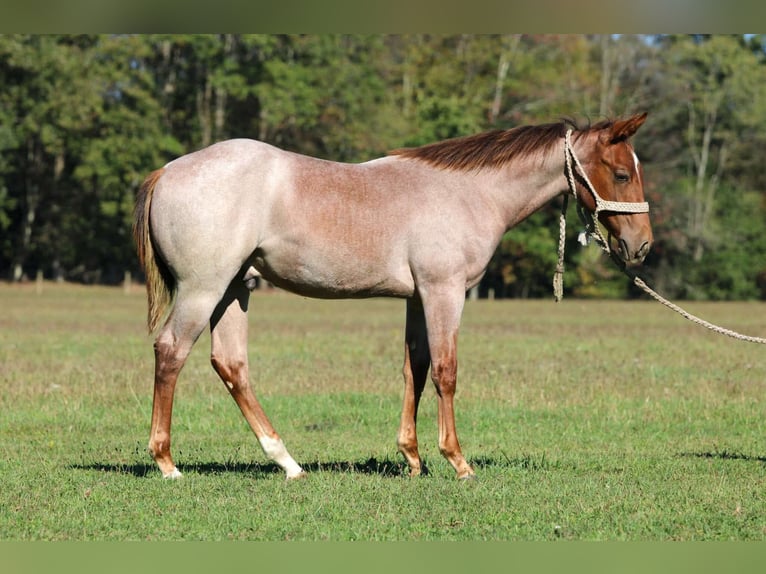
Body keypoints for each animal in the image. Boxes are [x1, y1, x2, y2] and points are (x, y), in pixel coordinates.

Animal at [133, 112, 652, 480]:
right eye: (622, 174)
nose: (642, 246)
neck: (469, 192)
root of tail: (167, 171)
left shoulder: (417, 298)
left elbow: (414, 370)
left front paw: (413, 458)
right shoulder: (444, 292)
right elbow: (445, 372)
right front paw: (457, 461)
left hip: (234, 290)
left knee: (231, 365)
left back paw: (287, 463)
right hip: (204, 290)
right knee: (171, 353)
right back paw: (167, 462)